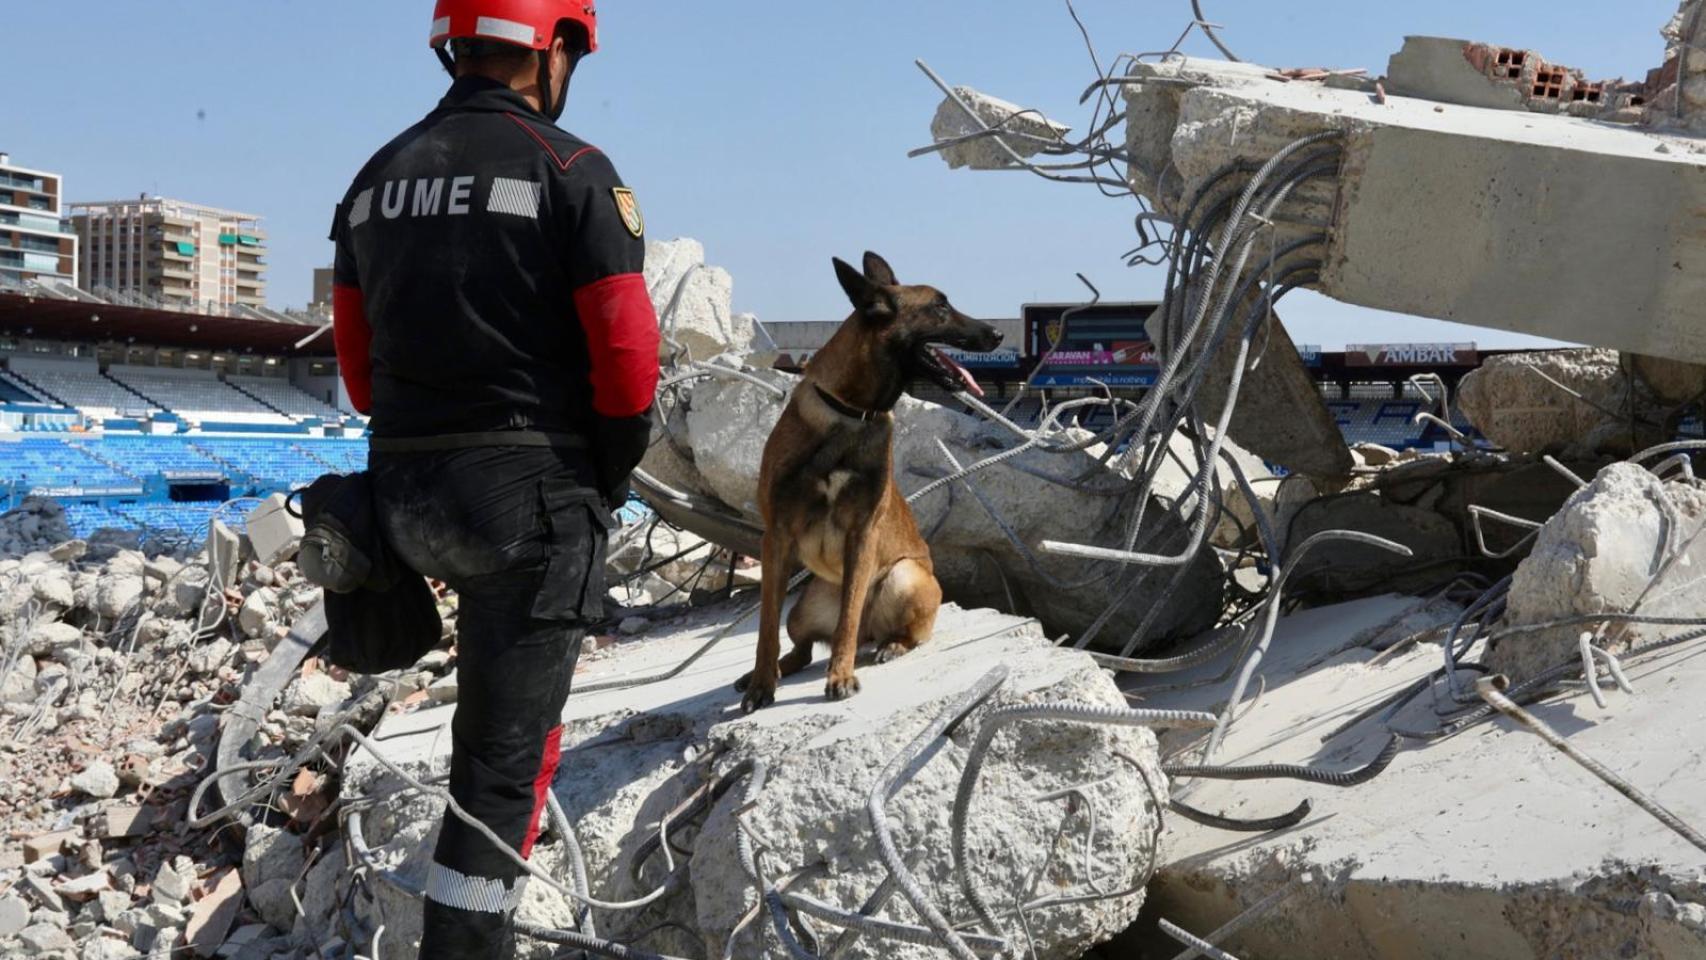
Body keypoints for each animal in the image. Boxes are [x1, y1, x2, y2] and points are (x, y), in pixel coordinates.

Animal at [733, 252, 996, 709]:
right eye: (940, 307)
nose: (997, 333)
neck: (851, 413)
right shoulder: (776, 536)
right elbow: (765, 628)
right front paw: (761, 685)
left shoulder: (862, 534)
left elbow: (848, 620)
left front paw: (840, 675)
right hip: (803, 607)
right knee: (803, 647)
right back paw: (775, 670)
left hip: (903, 577)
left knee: (887, 630)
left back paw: (889, 645)